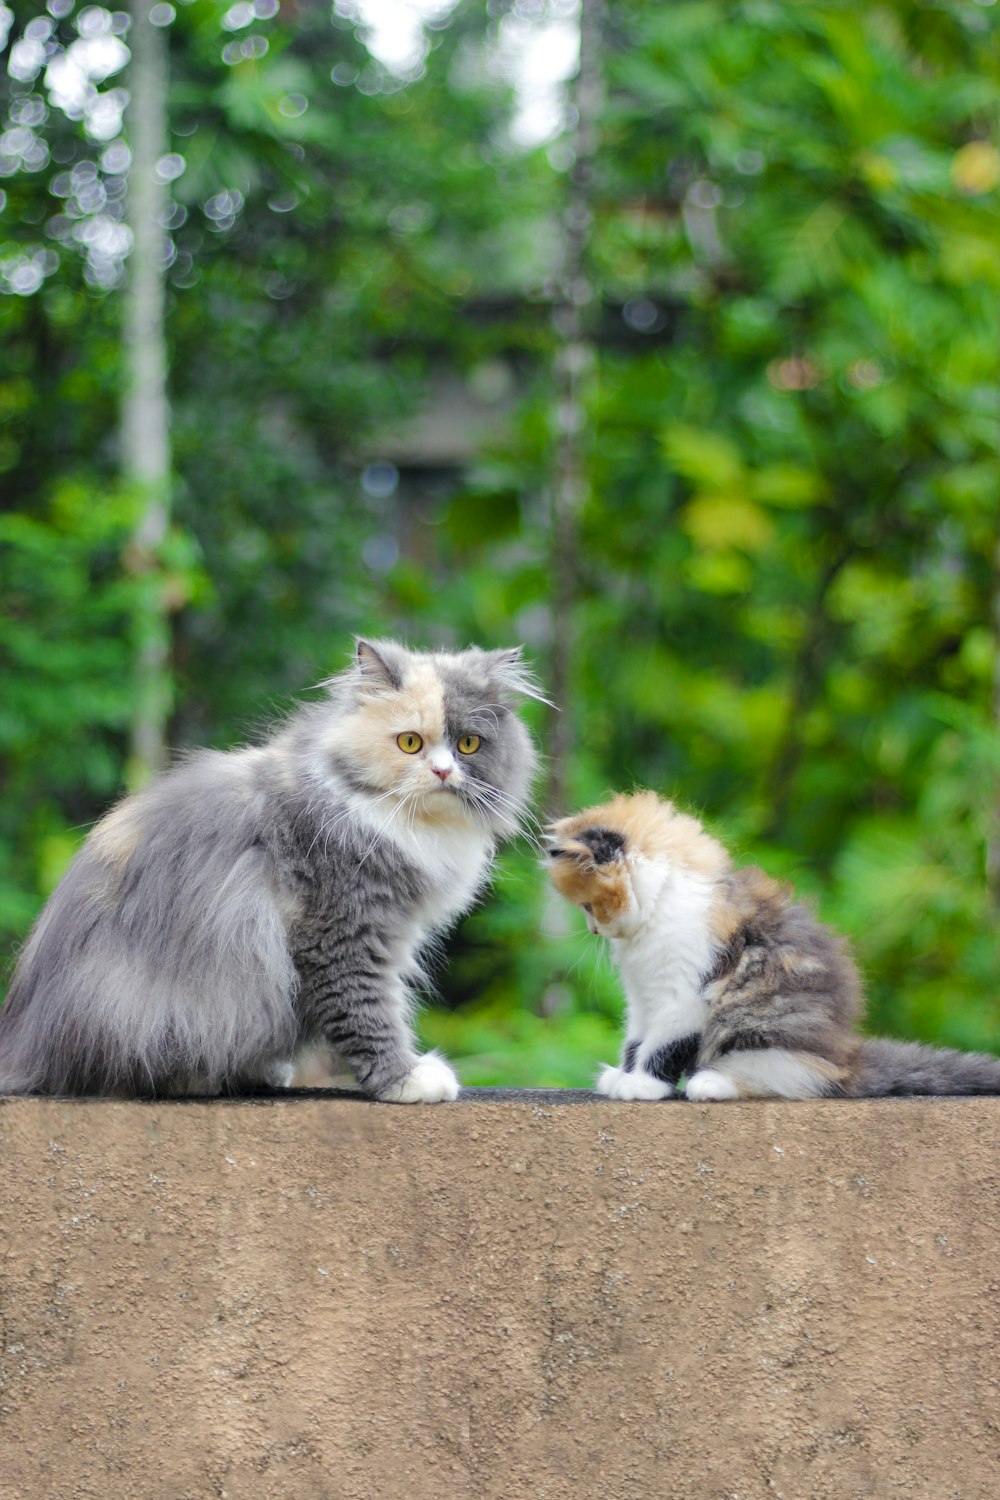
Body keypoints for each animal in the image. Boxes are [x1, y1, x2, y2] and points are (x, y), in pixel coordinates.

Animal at [0, 636, 539, 1104]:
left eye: (468, 745)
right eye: (409, 743)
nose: (443, 772)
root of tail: (24, 1047)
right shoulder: (343, 932)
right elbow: (369, 1012)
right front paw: (406, 1080)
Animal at [548, 786, 1000, 1104]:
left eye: (589, 906)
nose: (594, 931)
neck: (661, 908)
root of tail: (847, 1061)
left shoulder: (686, 994)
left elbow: (663, 1043)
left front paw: (642, 1085)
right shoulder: (643, 996)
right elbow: (637, 1037)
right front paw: (623, 1074)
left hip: (765, 1029)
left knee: (791, 1078)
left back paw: (712, 1082)